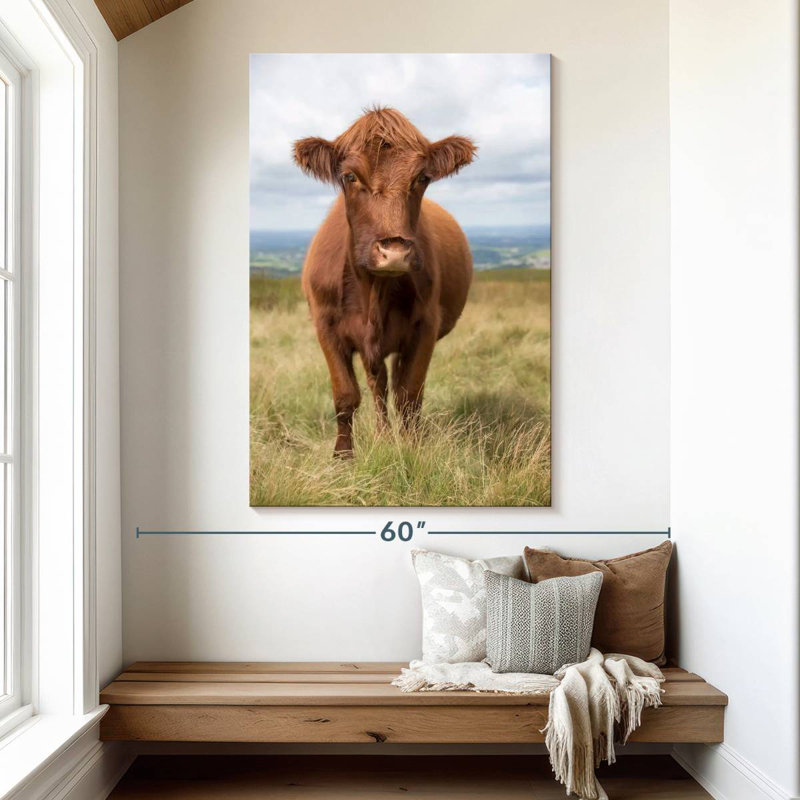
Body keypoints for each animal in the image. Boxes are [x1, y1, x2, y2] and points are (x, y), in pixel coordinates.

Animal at [293, 107, 476, 457]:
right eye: (350, 177)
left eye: (422, 178)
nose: (394, 253)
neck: (372, 293)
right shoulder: (327, 327)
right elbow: (346, 395)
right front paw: (343, 456)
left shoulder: (425, 327)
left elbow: (409, 396)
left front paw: (411, 449)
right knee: (378, 386)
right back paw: (381, 434)